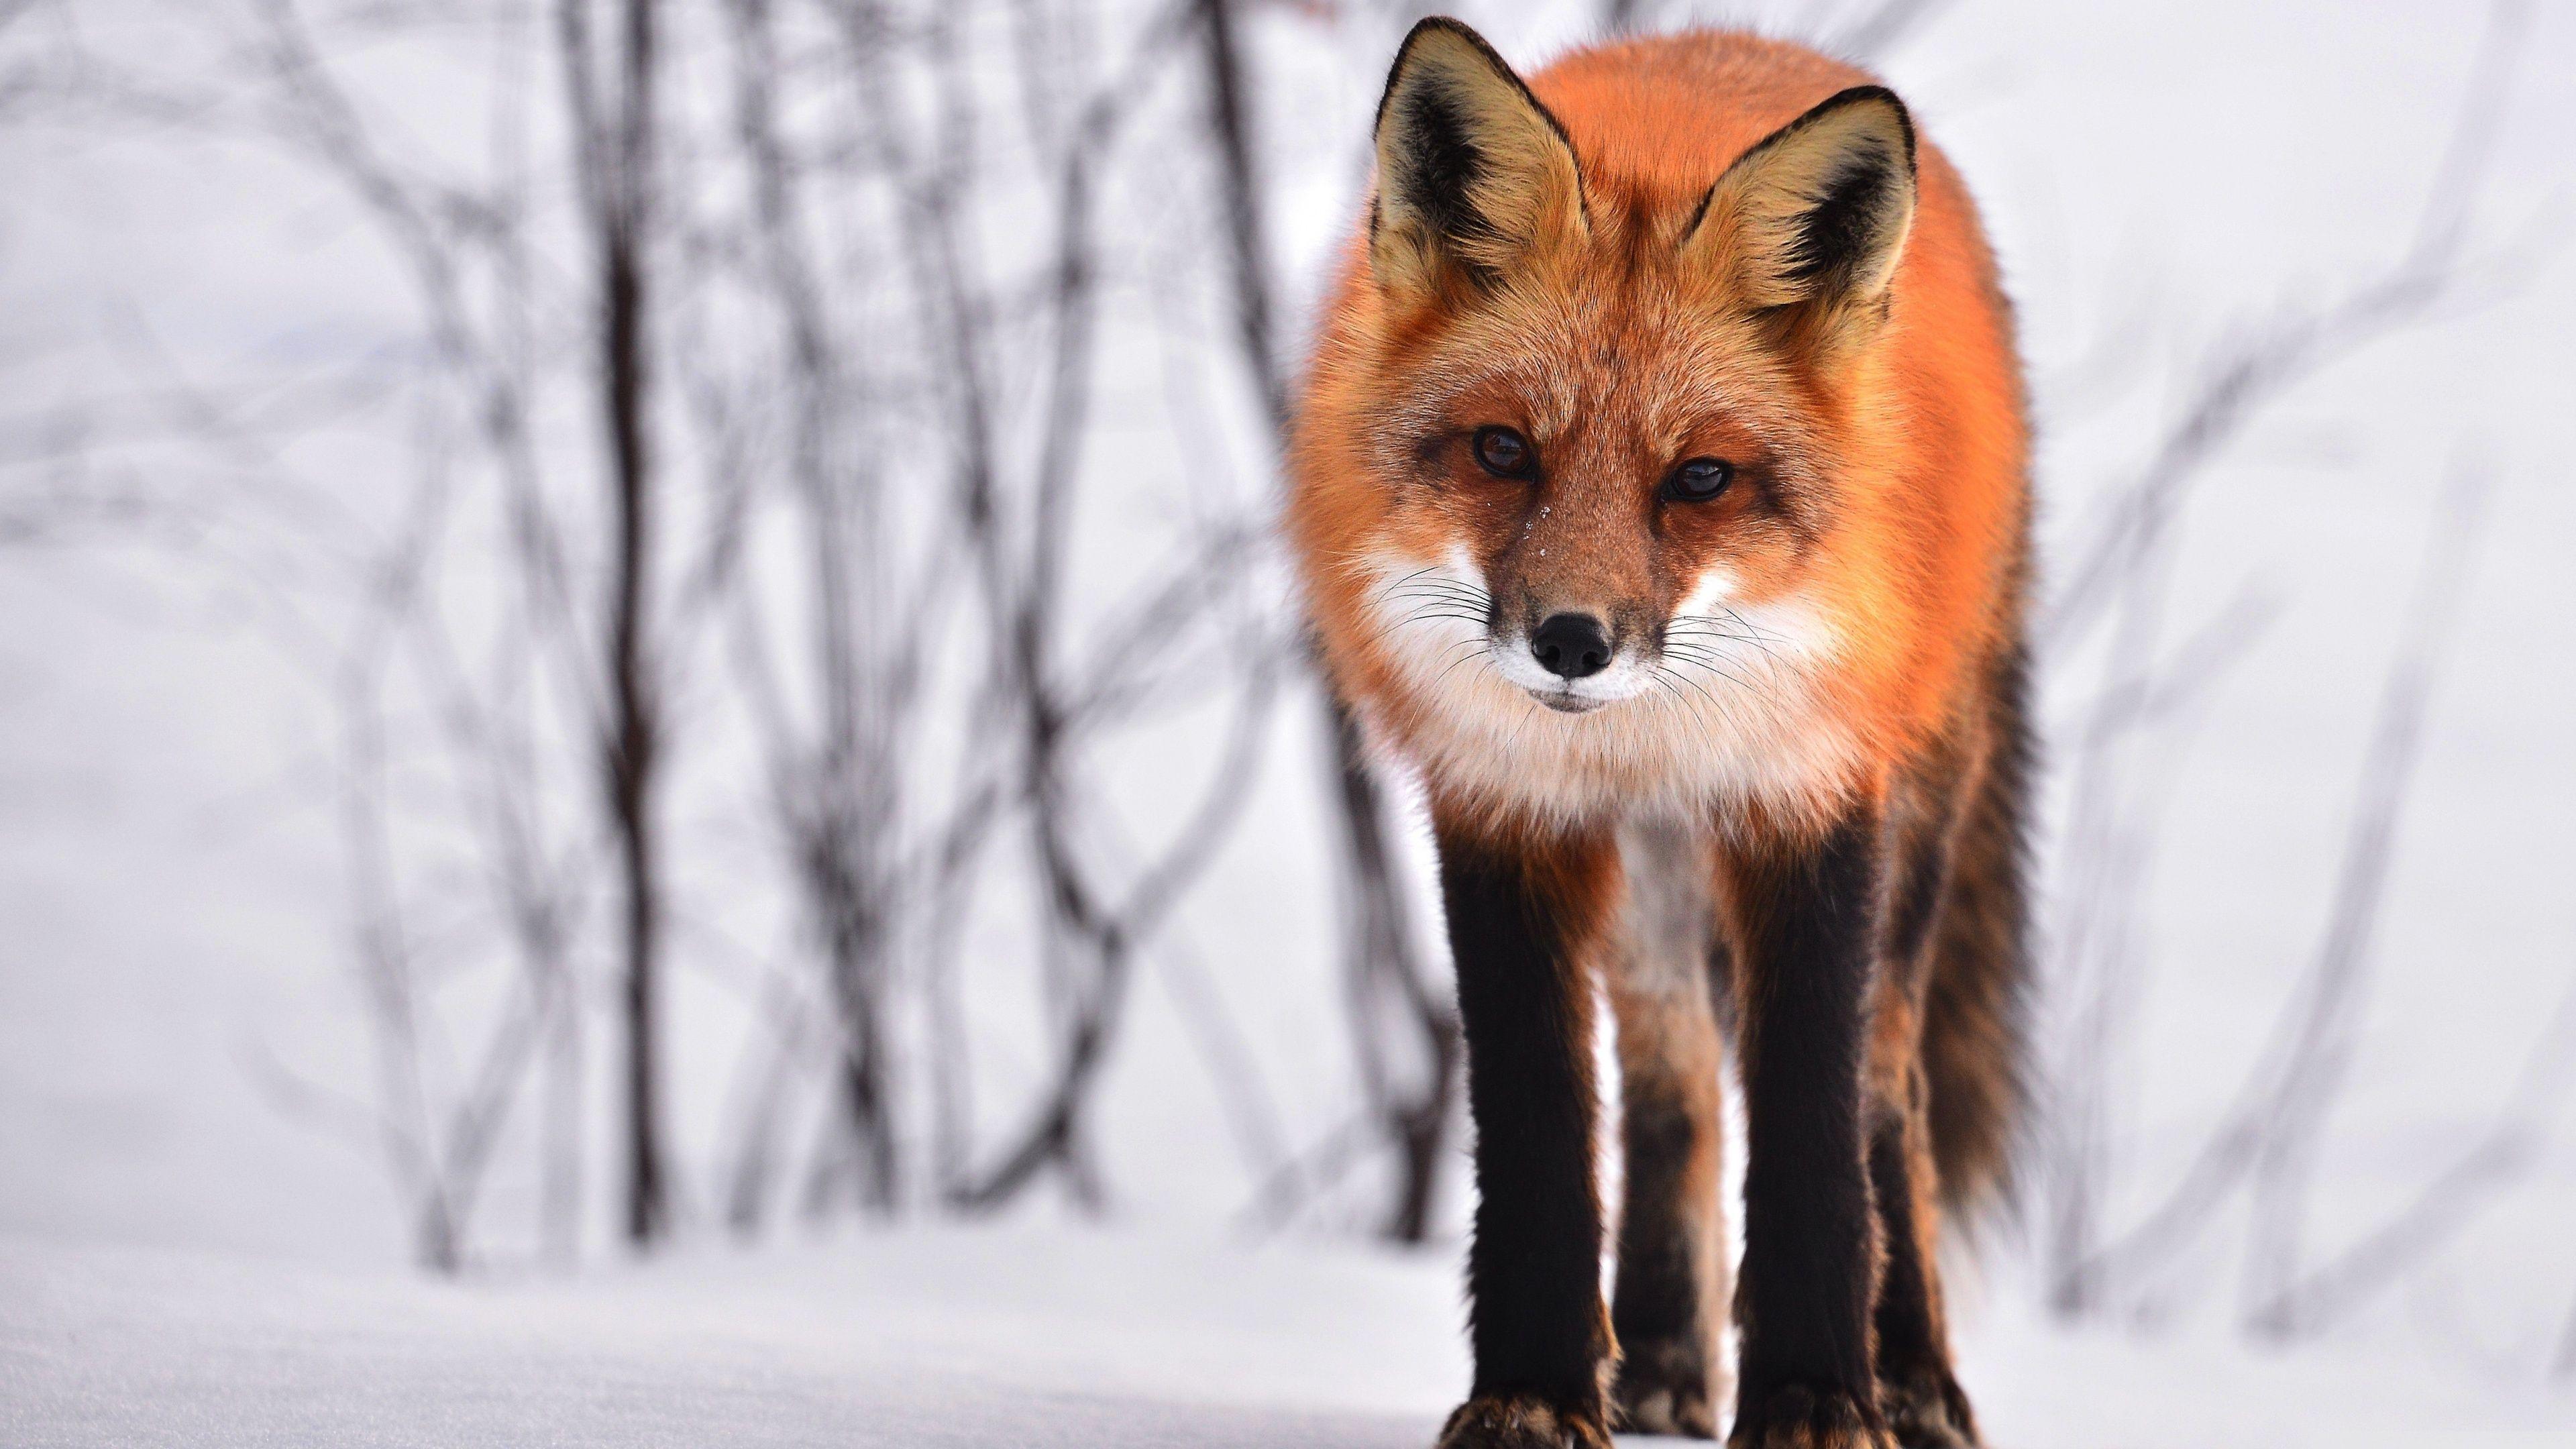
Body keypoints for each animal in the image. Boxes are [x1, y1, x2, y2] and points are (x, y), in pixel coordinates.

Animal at [1285, 19, 2033, 1449]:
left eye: (1699, 480)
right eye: (1503, 451)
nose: (1572, 642)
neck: (1638, 735)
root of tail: (1741, 39)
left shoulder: (1810, 803)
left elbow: (1811, 1131)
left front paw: (1815, 1396)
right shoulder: (1507, 811)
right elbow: (1543, 1132)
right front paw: (1533, 1389)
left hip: (1914, 821)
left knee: (1888, 1094)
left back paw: (1912, 1376)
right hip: (1648, 887)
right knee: (1671, 1079)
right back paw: (1666, 1358)